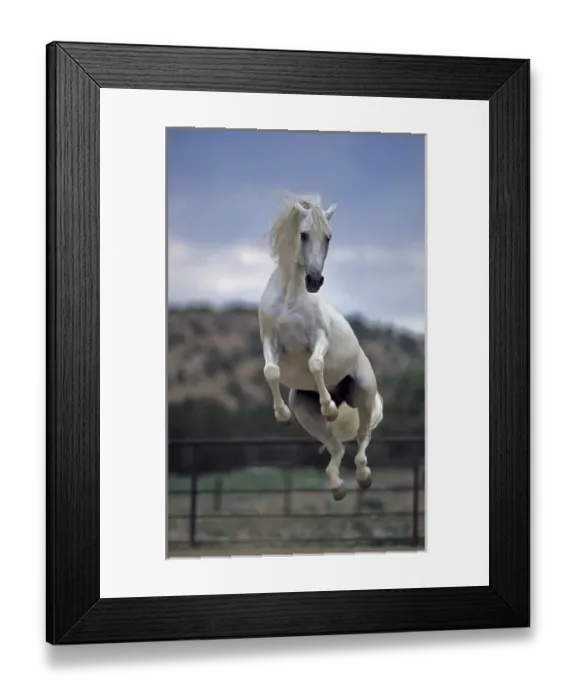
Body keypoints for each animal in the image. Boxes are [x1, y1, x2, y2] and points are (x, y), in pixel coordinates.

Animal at [258, 193, 384, 501]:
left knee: (362, 438)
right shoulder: (270, 342)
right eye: (303, 235)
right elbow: (271, 372)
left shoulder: (318, 339)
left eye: (328, 237)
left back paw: (363, 476)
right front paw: (281, 416)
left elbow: (315, 365)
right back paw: (337, 487)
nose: (314, 281)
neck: (290, 298)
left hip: (363, 393)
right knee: (337, 447)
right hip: (305, 411)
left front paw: (330, 409)